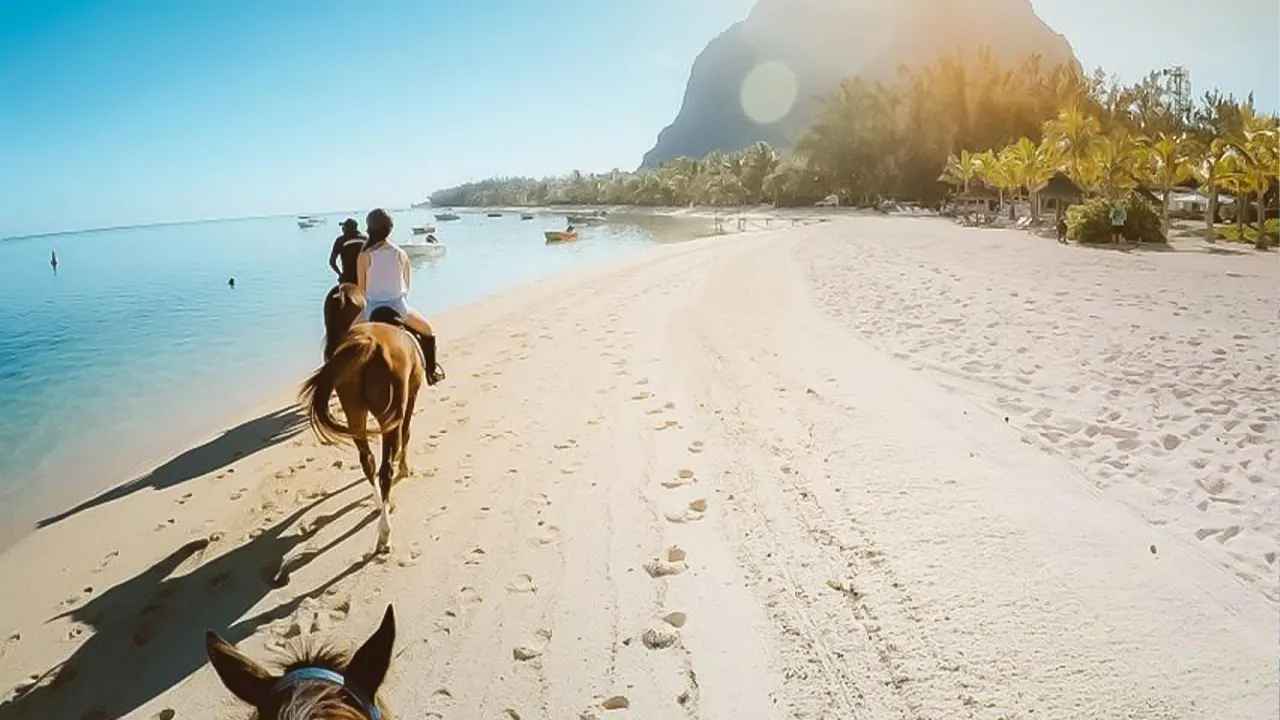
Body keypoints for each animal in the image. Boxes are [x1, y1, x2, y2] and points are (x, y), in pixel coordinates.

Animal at [296, 311, 422, 550]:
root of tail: (370, 344)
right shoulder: (411, 395)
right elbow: (407, 434)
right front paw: (404, 468)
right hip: (388, 416)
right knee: (384, 469)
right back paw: (384, 532)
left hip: (353, 412)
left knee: (367, 461)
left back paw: (379, 505)